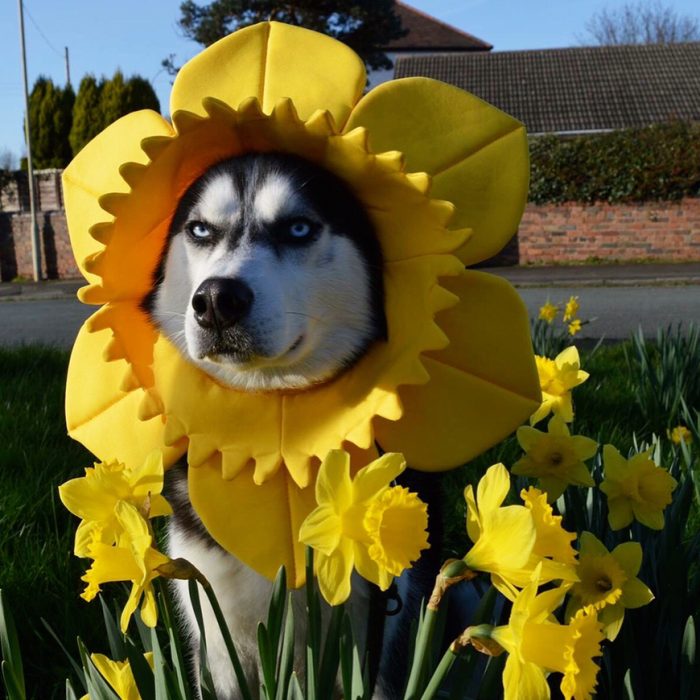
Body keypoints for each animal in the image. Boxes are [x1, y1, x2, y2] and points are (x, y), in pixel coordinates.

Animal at [143, 154, 400, 700]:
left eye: (298, 228)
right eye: (200, 230)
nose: (216, 300)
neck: (272, 450)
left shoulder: (370, 628)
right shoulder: (215, 636)